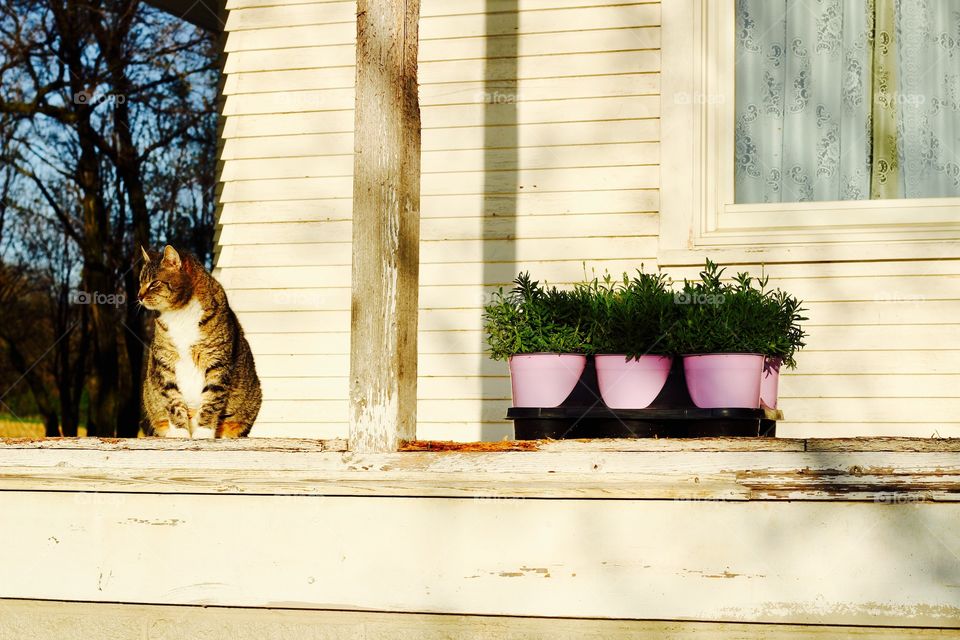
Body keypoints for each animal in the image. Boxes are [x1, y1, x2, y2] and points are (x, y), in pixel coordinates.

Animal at [137, 242, 260, 438]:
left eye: (154, 283)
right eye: (140, 283)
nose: (139, 296)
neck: (179, 313)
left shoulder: (217, 360)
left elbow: (212, 399)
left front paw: (203, 433)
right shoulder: (165, 361)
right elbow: (173, 399)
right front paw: (180, 433)